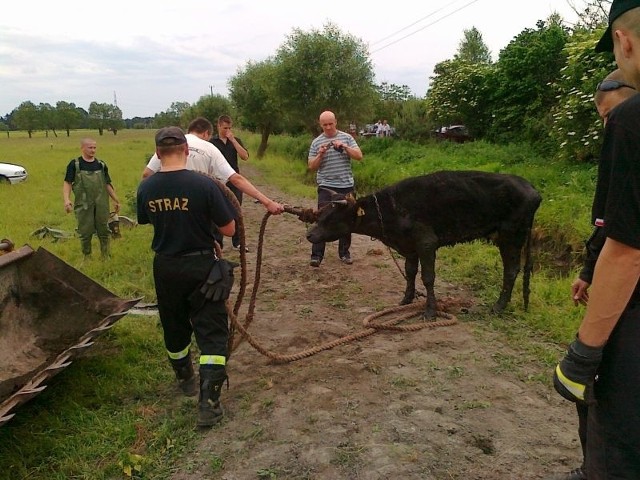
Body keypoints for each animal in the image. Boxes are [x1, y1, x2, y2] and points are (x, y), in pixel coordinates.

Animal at [304, 170, 540, 318]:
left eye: (331, 217)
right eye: (321, 213)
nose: (309, 234)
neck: (391, 210)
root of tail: (532, 188)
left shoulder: (426, 243)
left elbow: (428, 278)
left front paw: (430, 311)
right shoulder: (409, 246)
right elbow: (410, 272)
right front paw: (406, 299)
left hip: (511, 235)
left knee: (511, 270)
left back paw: (498, 307)